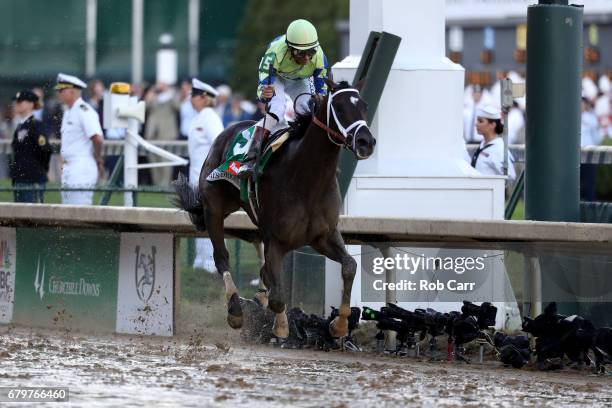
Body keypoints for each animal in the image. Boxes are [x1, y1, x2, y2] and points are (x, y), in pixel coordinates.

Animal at [171, 79, 372, 338]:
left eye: (364, 106)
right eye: (338, 107)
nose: (366, 142)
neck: (307, 180)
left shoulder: (323, 235)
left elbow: (349, 266)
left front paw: (339, 325)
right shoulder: (276, 240)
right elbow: (277, 296)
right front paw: (281, 326)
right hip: (213, 208)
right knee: (221, 257)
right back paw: (235, 309)